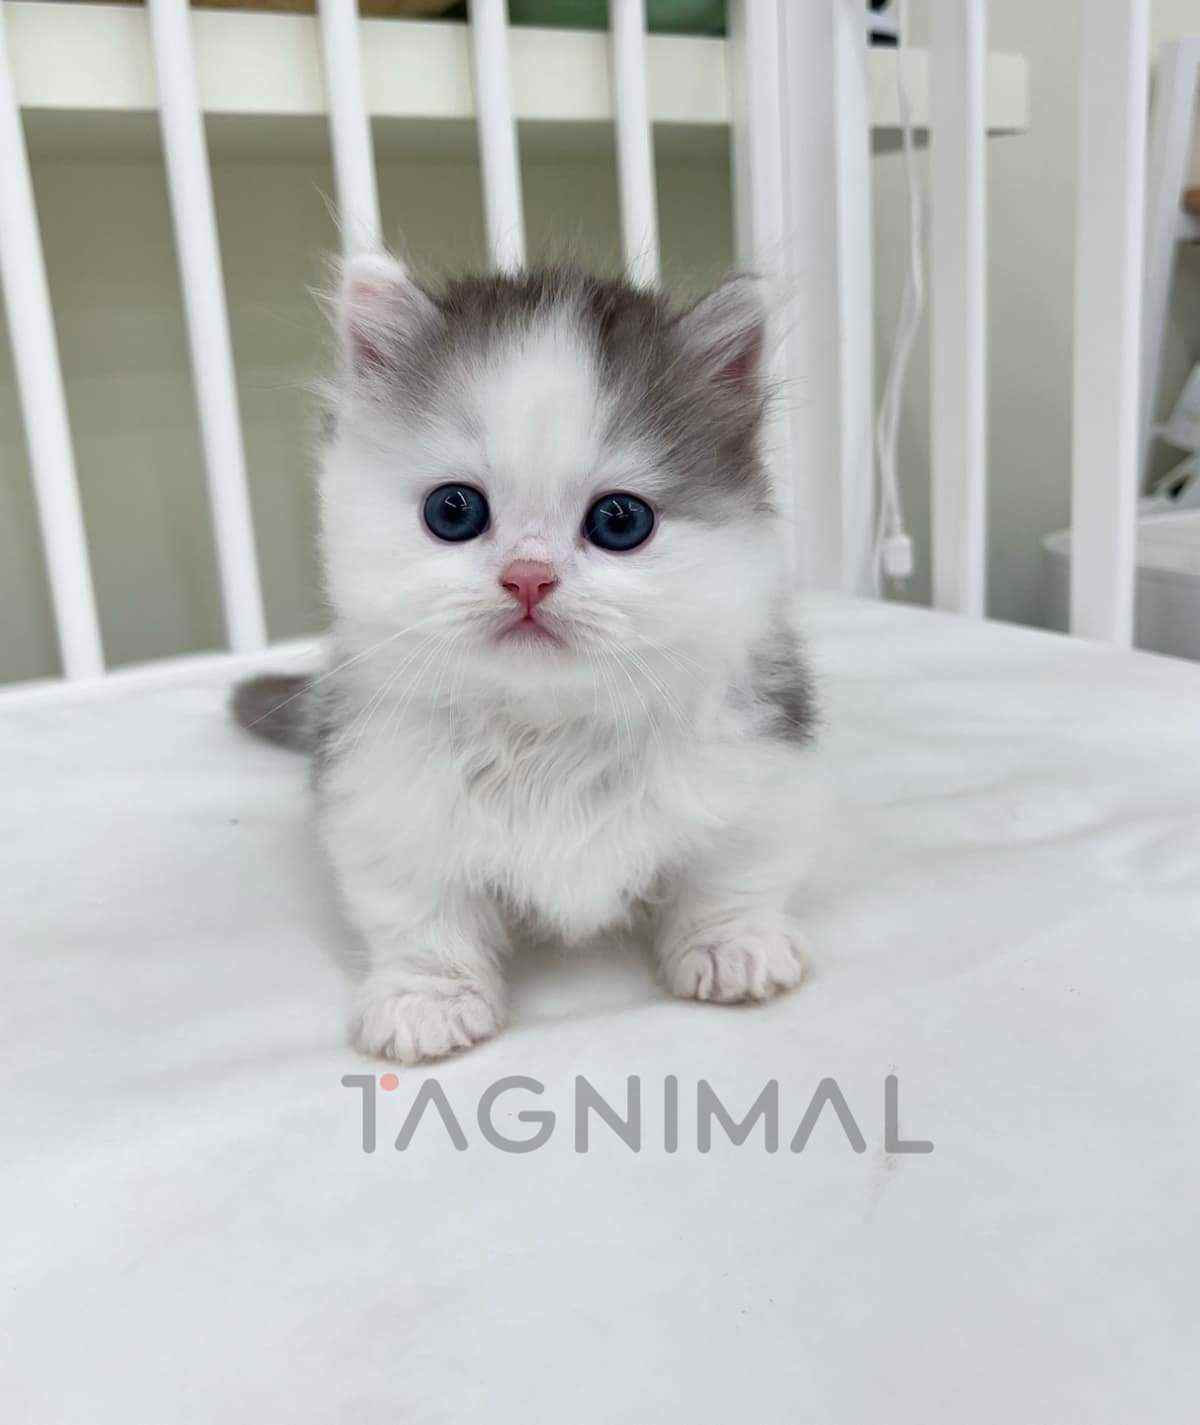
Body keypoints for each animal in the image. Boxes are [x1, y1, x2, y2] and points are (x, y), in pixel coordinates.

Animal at [233, 254, 819, 1064]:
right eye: (453, 511)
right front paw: (428, 998)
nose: (528, 578)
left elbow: (734, 863)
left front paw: (731, 946)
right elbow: (419, 910)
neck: (549, 729)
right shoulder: (385, 791)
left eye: (619, 520)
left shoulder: (755, 762)